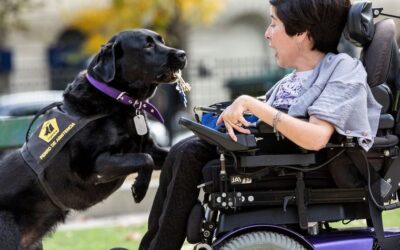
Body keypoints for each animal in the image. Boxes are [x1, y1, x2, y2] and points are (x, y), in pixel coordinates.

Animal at [0, 28, 186, 250]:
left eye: (162, 41)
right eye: (147, 45)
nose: (183, 54)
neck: (117, 100)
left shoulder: (149, 148)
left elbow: (168, 153)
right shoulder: (93, 166)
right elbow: (144, 160)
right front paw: (139, 189)